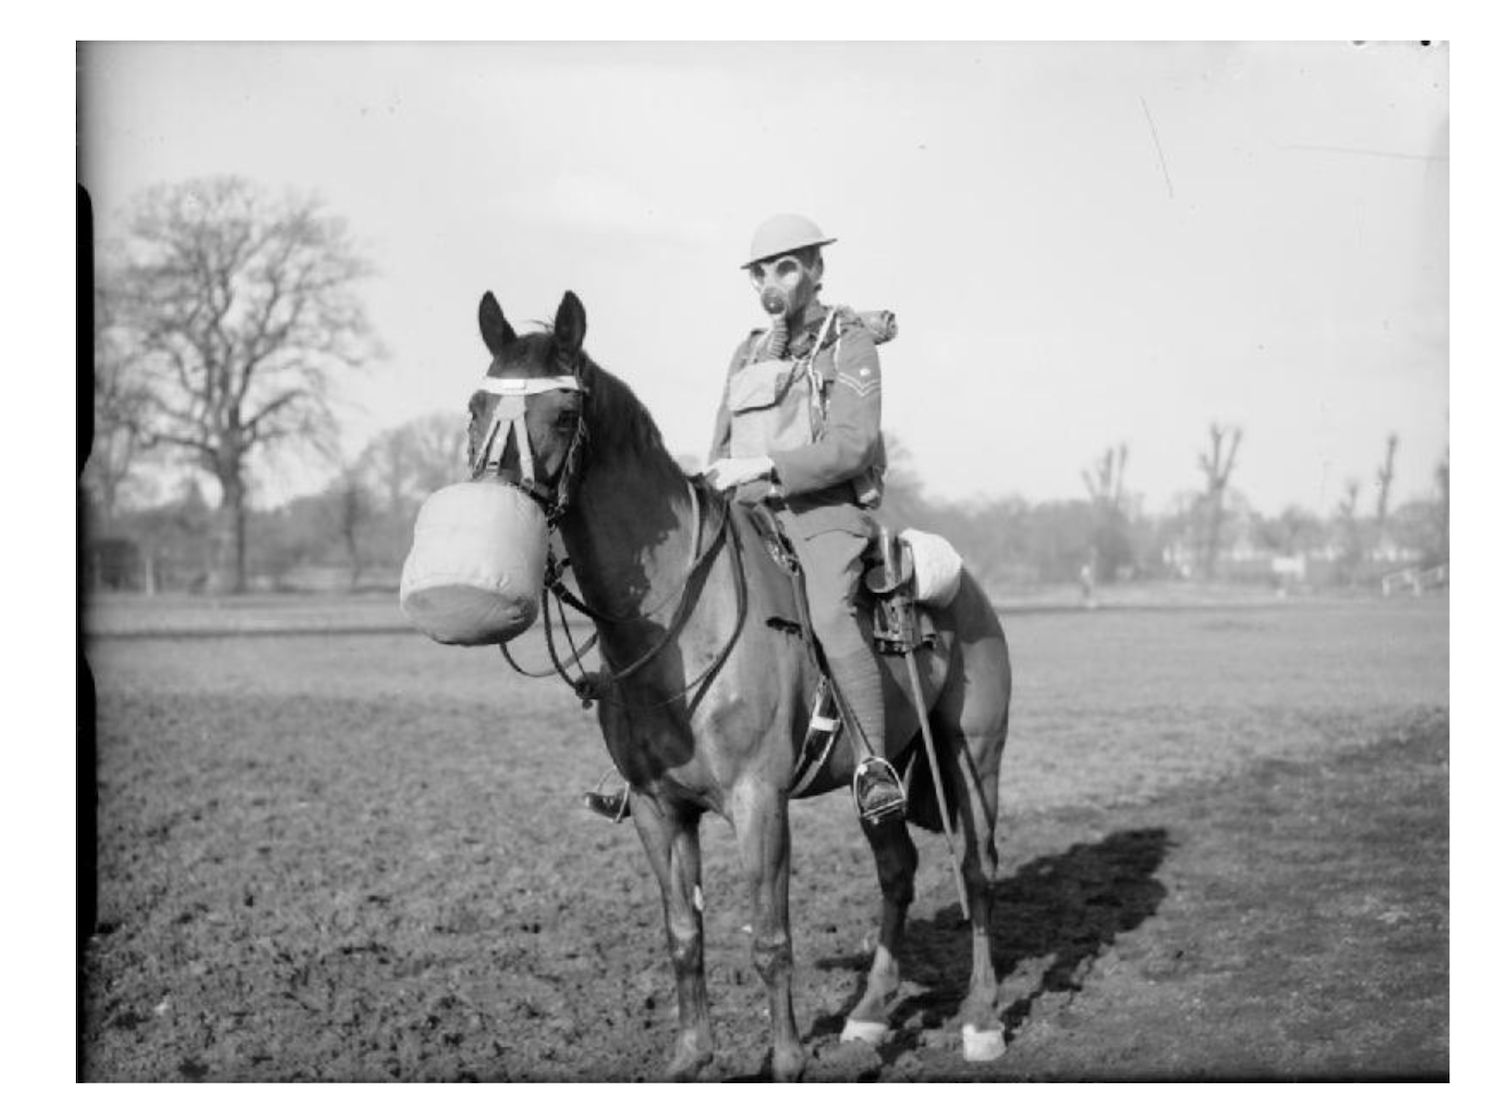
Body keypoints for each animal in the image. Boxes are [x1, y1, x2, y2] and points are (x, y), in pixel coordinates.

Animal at [462, 289, 1014, 1079]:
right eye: (477, 406)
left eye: (564, 414)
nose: (495, 519)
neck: (675, 627)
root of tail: (965, 587)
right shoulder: (659, 810)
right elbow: (684, 934)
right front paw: (691, 1057)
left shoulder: (760, 803)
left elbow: (769, 938)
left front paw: (785, 1062)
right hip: (881, 776)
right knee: (898, 869)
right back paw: (870, 1016)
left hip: (973, 756)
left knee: (977, 870)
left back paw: (981, 1021)